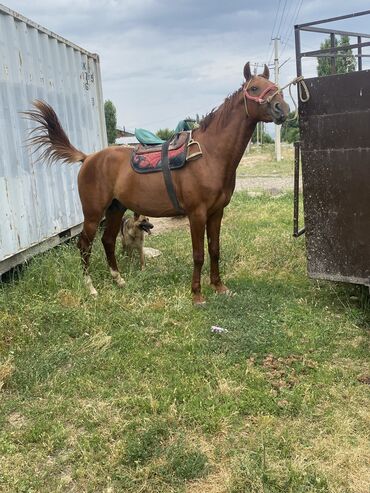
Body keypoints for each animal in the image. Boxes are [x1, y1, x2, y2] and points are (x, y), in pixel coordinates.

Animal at [25, 62, 290, 304]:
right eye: (254, 88)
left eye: (274, 86)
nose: (283, 109)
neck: (209, 155)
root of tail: (88, 158)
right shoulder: (197, 214)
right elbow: (198, 254)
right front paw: (197, 295)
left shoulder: (216, 212)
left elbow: (214, 250)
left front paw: (219, 287)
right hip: (92, 214)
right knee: (84, 245)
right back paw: (90, 288)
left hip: (116, 208)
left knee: (107, 240)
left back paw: (118, 279)